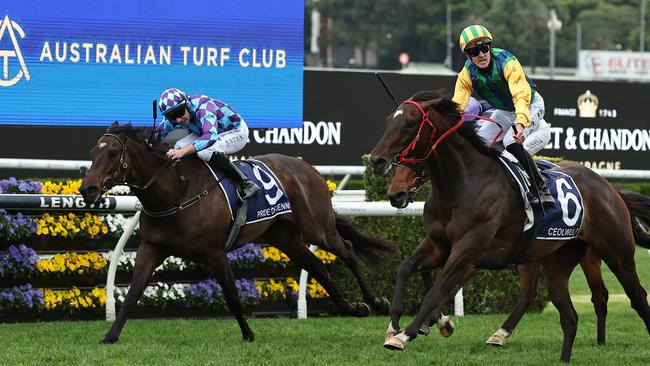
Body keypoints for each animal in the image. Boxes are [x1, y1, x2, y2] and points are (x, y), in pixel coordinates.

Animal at [78, 122, 392, 344]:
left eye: (113, 153)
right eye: (92, 153)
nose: (87, 189)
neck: (176, 191)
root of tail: (306, 167)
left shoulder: (214, 252)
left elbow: (231, 295)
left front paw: (248, 334)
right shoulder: (151, 249)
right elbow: (132, 293)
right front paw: (110, 336)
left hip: (318, 229)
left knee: (347, 251)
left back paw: (376, 302)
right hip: (286, 238)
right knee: (319, 269)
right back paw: (353, 308)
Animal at [370, 92, 648, 364]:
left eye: (410, 123)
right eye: (388, 121)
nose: (377, 161)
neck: (463, 183)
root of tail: (608, 186)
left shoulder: (468, 251)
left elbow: (437, 290)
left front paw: (408, 333)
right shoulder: (438, 245)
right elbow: (406, 268)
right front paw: (395, 326)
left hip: (616, 253)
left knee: (636, 297)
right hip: (555, 259)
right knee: (565, 313)